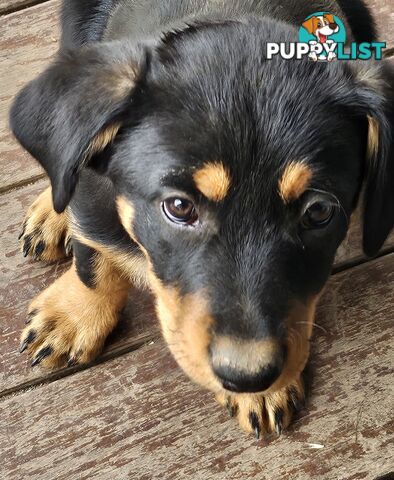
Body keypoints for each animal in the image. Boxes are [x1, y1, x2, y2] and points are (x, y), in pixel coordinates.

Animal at [10, 0, 394, 436]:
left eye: (319, 211)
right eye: (179, 208)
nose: (248, 376)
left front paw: (263, 394)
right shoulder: (91, 201)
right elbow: (93, 257)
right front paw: (76, 315)